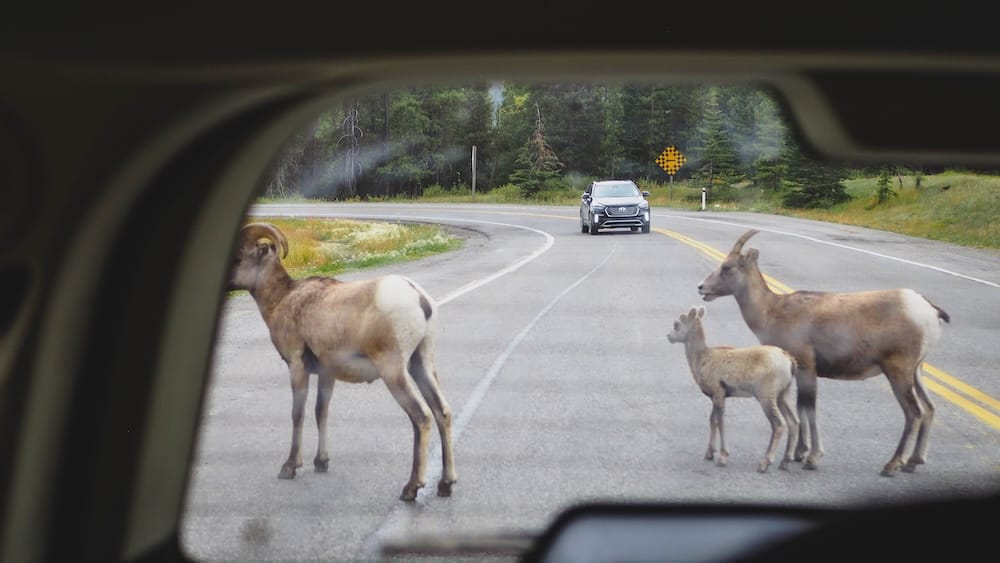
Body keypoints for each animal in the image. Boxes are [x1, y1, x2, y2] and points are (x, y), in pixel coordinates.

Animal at [228, 222, 457, 501]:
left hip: (394, 371)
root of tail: (419, 299)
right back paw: (445, 484)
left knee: (421, 416)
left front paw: (290, 467)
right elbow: (321, 412)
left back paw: (411, 488)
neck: (283, 300)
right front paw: (321, 462)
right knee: (442, 412)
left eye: (238, 258)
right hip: (421, 363)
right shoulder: (327, 374)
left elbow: (298, 414)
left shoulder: (297, 366)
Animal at [667, 306, 800, 473]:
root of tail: (789, 360)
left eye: (677, 324)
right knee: (793, 422)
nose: (669, 336)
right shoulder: (716, 396)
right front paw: (709, 453)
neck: (702, 358)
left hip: (766, 396)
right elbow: (712, 420)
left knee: (779, 425)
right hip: (783, 394)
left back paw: (764, 463)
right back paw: (785, 462)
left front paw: (723, 457)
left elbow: (721, 422)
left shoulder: (718, 393)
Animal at [697, 229, 950, 476]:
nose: (701, 287)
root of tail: (929, 309)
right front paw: (799, 454)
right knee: (929, 408)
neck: (772, 311)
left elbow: (809, 410)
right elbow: (801, 408)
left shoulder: (806, 367)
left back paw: (892, 465)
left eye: (727, 267)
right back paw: (913, 462)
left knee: (914, 413)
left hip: (898, 371)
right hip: (916, 371)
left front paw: (811, 458)